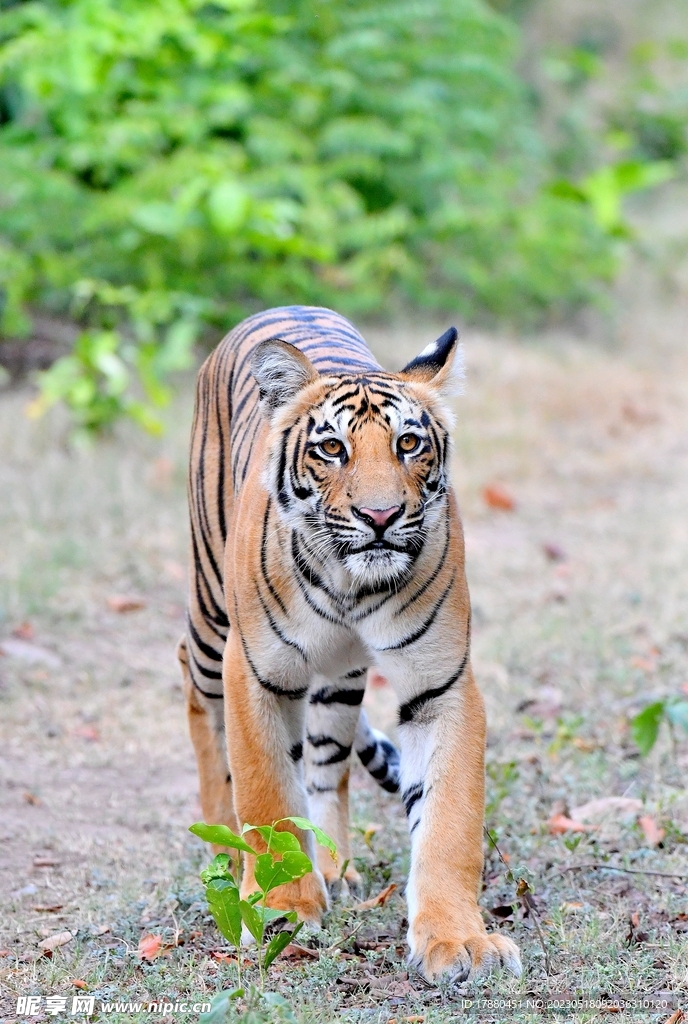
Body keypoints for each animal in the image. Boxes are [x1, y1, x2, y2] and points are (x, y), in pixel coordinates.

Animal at [177, 305, 521, 983]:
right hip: (209, 617)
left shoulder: (440, 684)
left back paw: (334, 866)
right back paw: (223, 844)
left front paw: (459, 940)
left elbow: (449, 822)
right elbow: (266, 797)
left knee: (326, 764)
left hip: (338, 681)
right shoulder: (252, 670)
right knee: (195, 691)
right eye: (331, 448)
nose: (381, 516)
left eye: (408, 443)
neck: (349, 585)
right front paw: (282, 908)